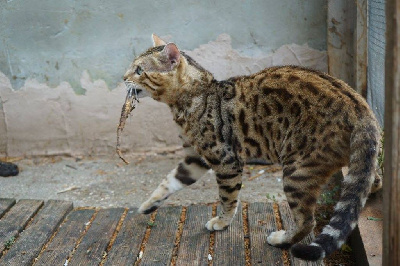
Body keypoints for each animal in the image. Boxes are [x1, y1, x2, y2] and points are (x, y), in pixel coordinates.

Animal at [122, 34, 382, 260]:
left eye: (139, 70)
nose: (123, 77)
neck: (196, 95)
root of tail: (360, 108)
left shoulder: (224, 161)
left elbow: (227, 198)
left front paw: (222, 222)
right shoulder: (194, 158)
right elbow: (169, 181)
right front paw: (148, 204)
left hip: (297, 170)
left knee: (308, 221)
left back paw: (282, 239)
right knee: (370, 180)